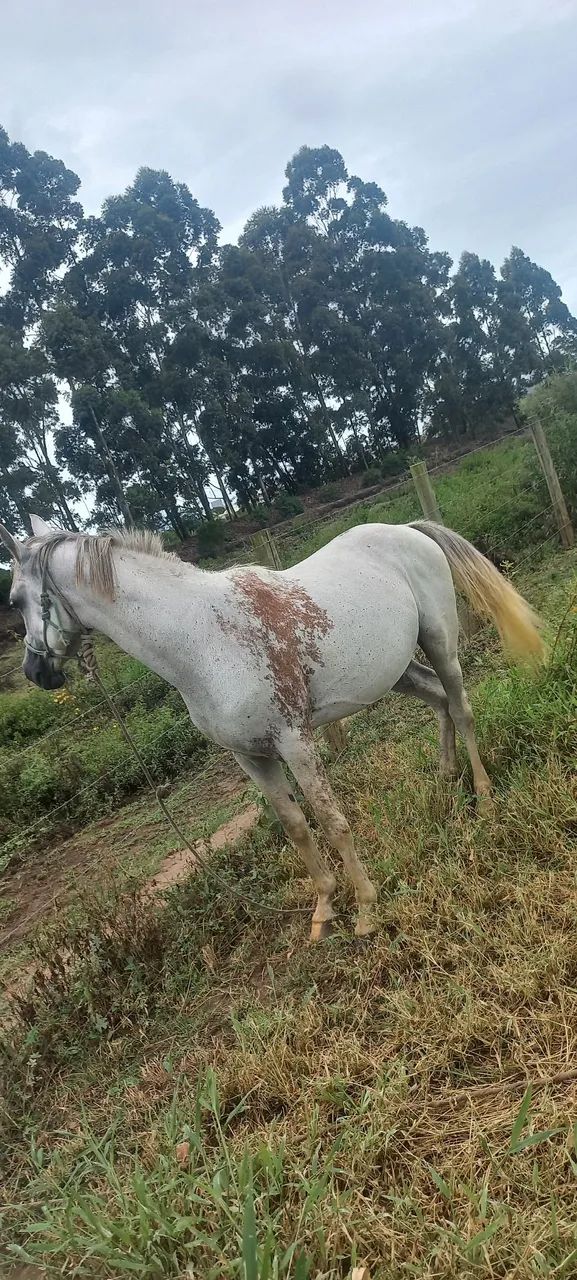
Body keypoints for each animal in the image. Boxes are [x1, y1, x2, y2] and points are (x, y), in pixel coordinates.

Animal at [0, 515, 543, 940]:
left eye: (16, 598)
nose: (36, 672)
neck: (202, 639)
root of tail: (408, 531)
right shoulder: (252, 756)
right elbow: (296, 827)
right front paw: (324, 909)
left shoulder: (295, 741)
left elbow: (332, 820)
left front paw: (366, 908)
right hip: (398, 671)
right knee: (439, 702)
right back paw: (445, 778)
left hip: (440, 642)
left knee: (461, 707)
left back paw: (483, 795)